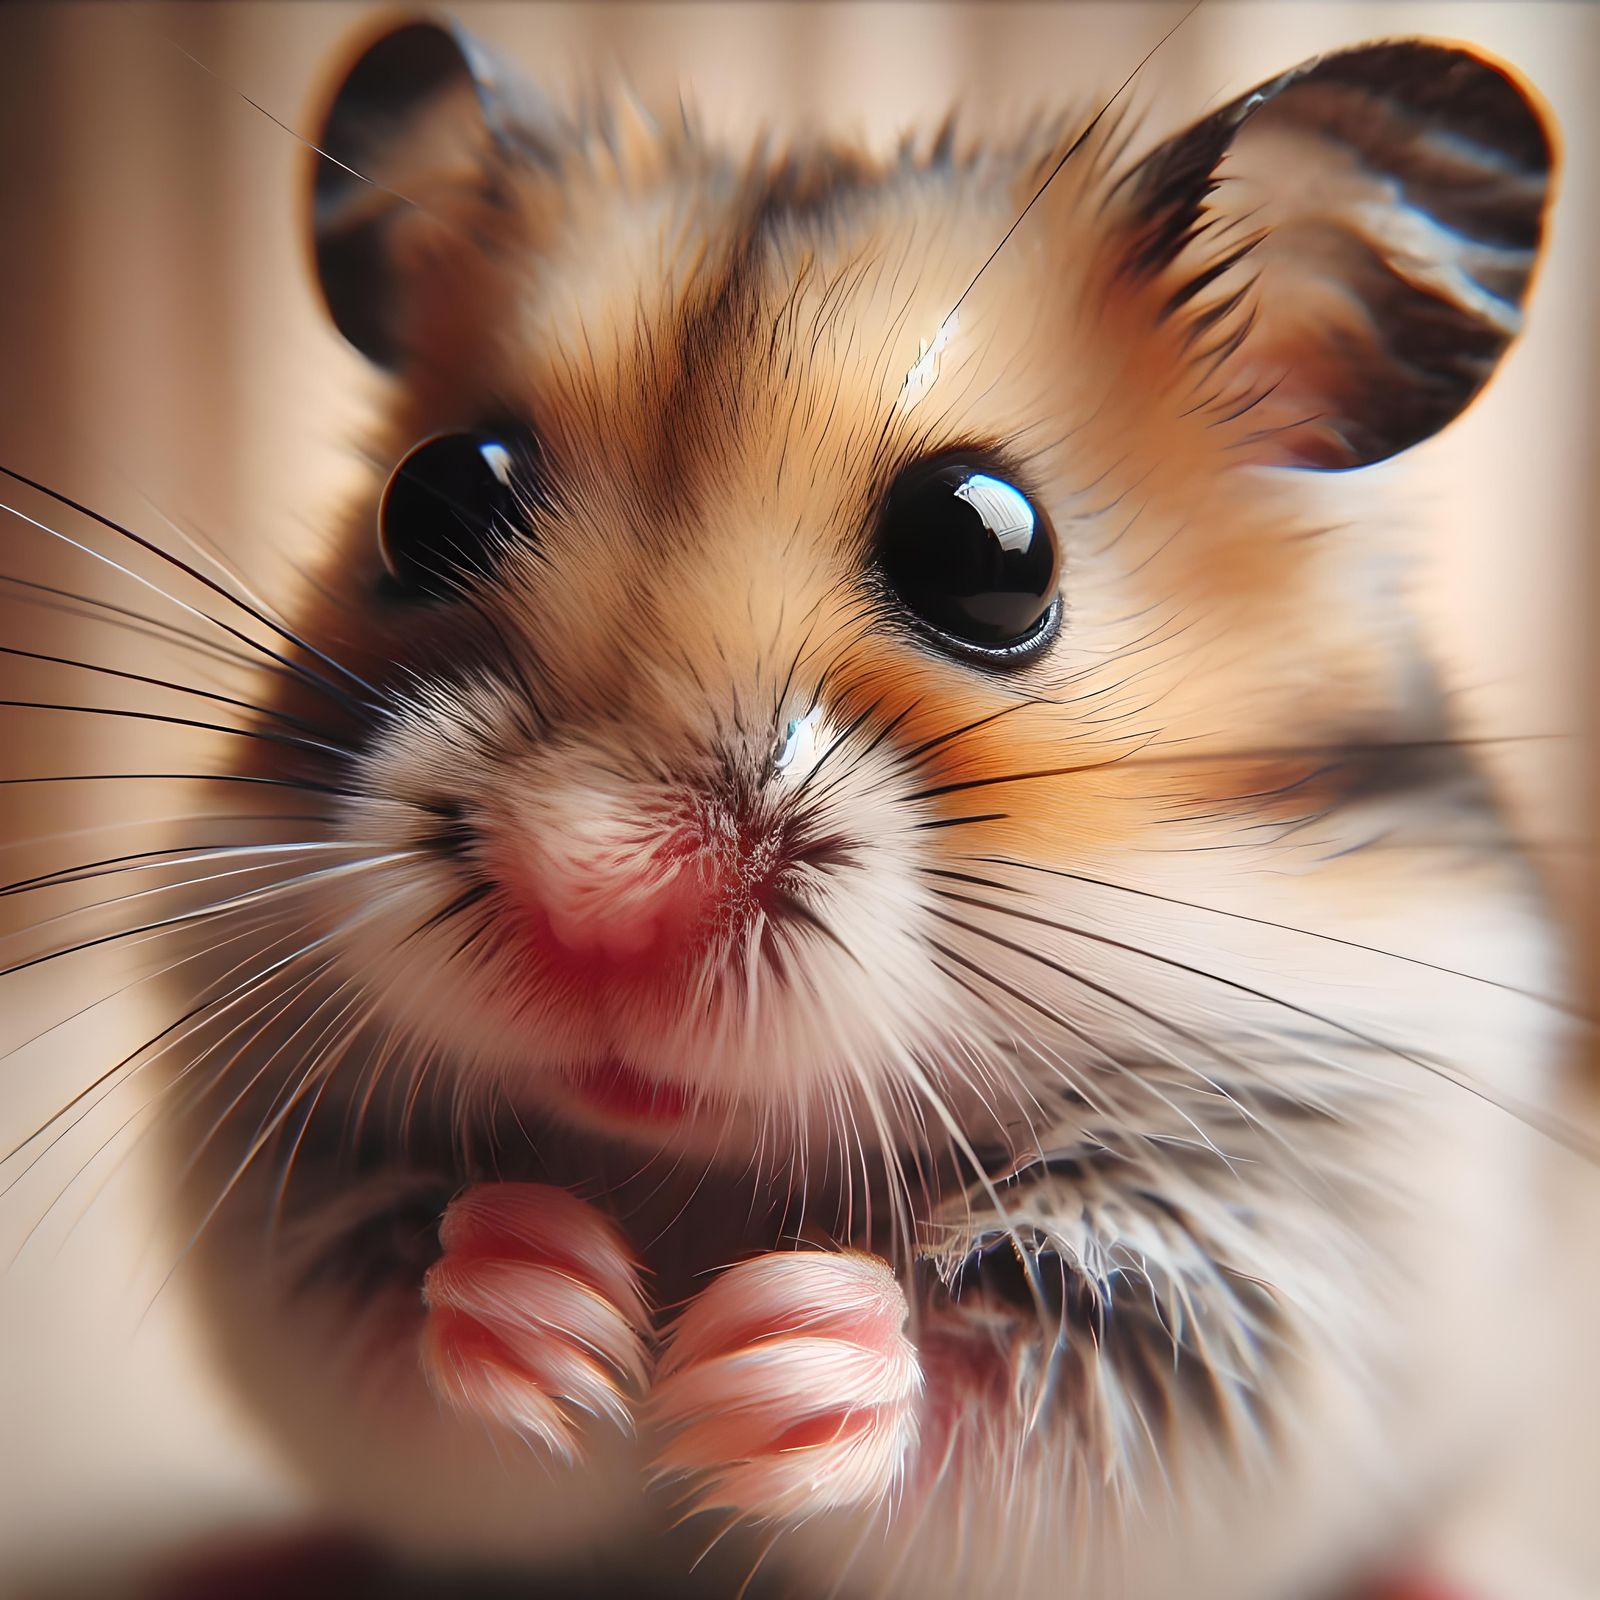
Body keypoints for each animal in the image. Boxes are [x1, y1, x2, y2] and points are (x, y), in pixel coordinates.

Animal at [3, 14, 1570, 1600]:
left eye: (986, 552)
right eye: (431, 501)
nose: (592, 891)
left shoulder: (1297, 1216)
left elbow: (1044, 1379)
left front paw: (751, 1357)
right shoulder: (272, 1158)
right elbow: (395, 1319)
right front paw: (564, 1302)